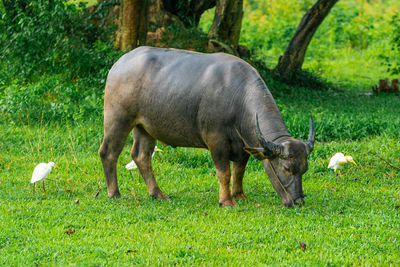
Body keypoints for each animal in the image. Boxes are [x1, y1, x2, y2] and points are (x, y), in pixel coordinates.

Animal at [98, 47, 314, 208]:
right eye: (286, 168)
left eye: (304, 169)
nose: (298, 201)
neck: (238, 97)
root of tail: (119, 64)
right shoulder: (215, 139)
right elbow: (224, 172)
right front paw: (227, 201)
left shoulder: (243, 143)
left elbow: (239, 170)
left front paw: (240, 195)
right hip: (117, 118)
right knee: (108, 152)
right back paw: (114, 193)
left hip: (145, 127)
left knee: (141, 156)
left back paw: (157, 193)